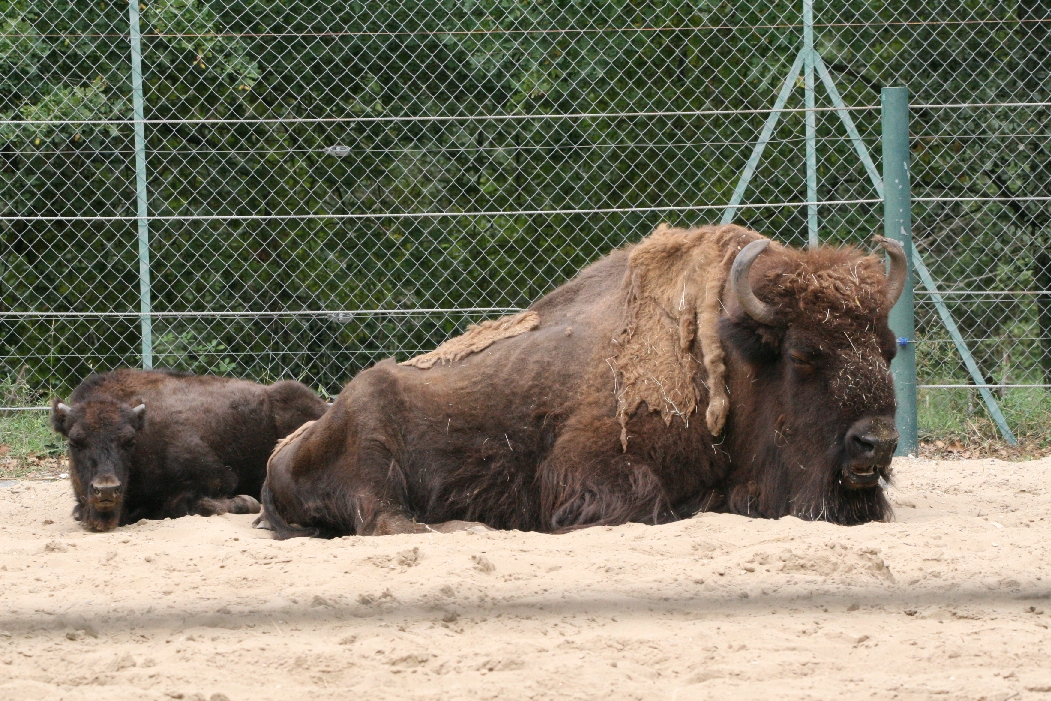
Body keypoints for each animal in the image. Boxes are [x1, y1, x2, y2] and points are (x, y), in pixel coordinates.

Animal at [50, 369, 328, 532]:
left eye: (129, 441)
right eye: (74, 442)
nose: (106, 489)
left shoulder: (218, 478)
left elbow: (186, 504)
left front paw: (245, 502)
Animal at [258, 224, 906, 539]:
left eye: (887, 346)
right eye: (803, 355)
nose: (877, 443)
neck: (731, 356)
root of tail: (277, 457)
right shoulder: (587, 471)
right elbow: (647, 504)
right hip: (372, 433)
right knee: (385, 520)